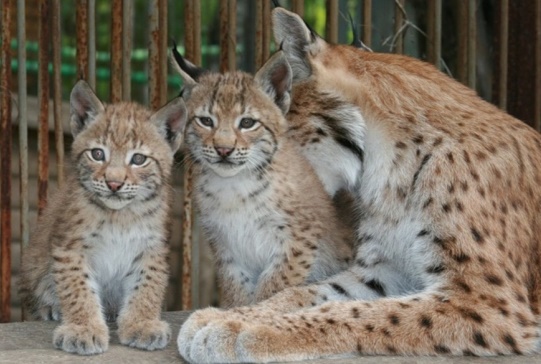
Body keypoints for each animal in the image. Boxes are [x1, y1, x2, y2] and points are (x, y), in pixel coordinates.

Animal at [19, 80, 187, 356]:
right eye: (97, 154)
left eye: (138, 159)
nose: (114, 183)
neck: (120, 215)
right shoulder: (70, 248)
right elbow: (78, 290)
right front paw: (83, 329)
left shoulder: (151, 247)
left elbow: (147, 286)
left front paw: (142, 323)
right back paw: (51, 307)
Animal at [178, 7, 541, 362]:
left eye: (255, 126)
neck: (392, 168)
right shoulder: (384, 269)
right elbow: (307, 293)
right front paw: (235, 316)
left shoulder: (492, 303)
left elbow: (362, 313)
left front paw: (251, 329)